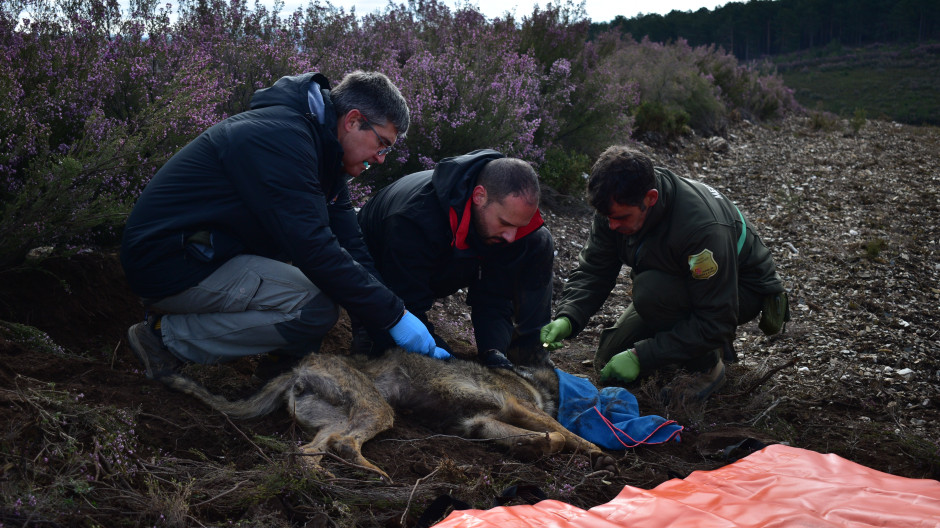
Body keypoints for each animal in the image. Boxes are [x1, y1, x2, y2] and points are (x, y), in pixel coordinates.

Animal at [162, 348, 616, 480]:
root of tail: (299, 366)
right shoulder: (515, 406)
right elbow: (561, 432)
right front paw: (596, 452)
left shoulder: (480, 422)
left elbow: (548, 438)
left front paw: (532, 448)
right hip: (375, 410)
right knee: (344, 444)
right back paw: (372, 474)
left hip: (336, 418)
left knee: (311, 451)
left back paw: (330, 479)